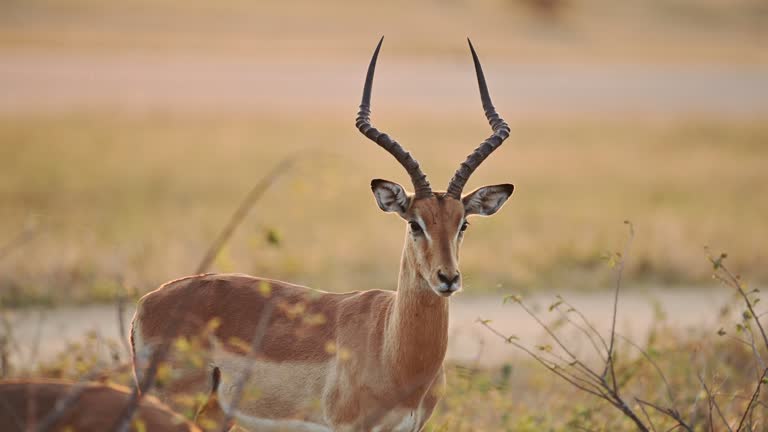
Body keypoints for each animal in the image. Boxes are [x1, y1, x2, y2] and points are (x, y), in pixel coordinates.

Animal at [130, 37, 514, 432]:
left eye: (462, 224)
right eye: (414, 223)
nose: (448, 278)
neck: (391, 347)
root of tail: (147, 302)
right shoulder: (348, 426)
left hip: (214, 413)